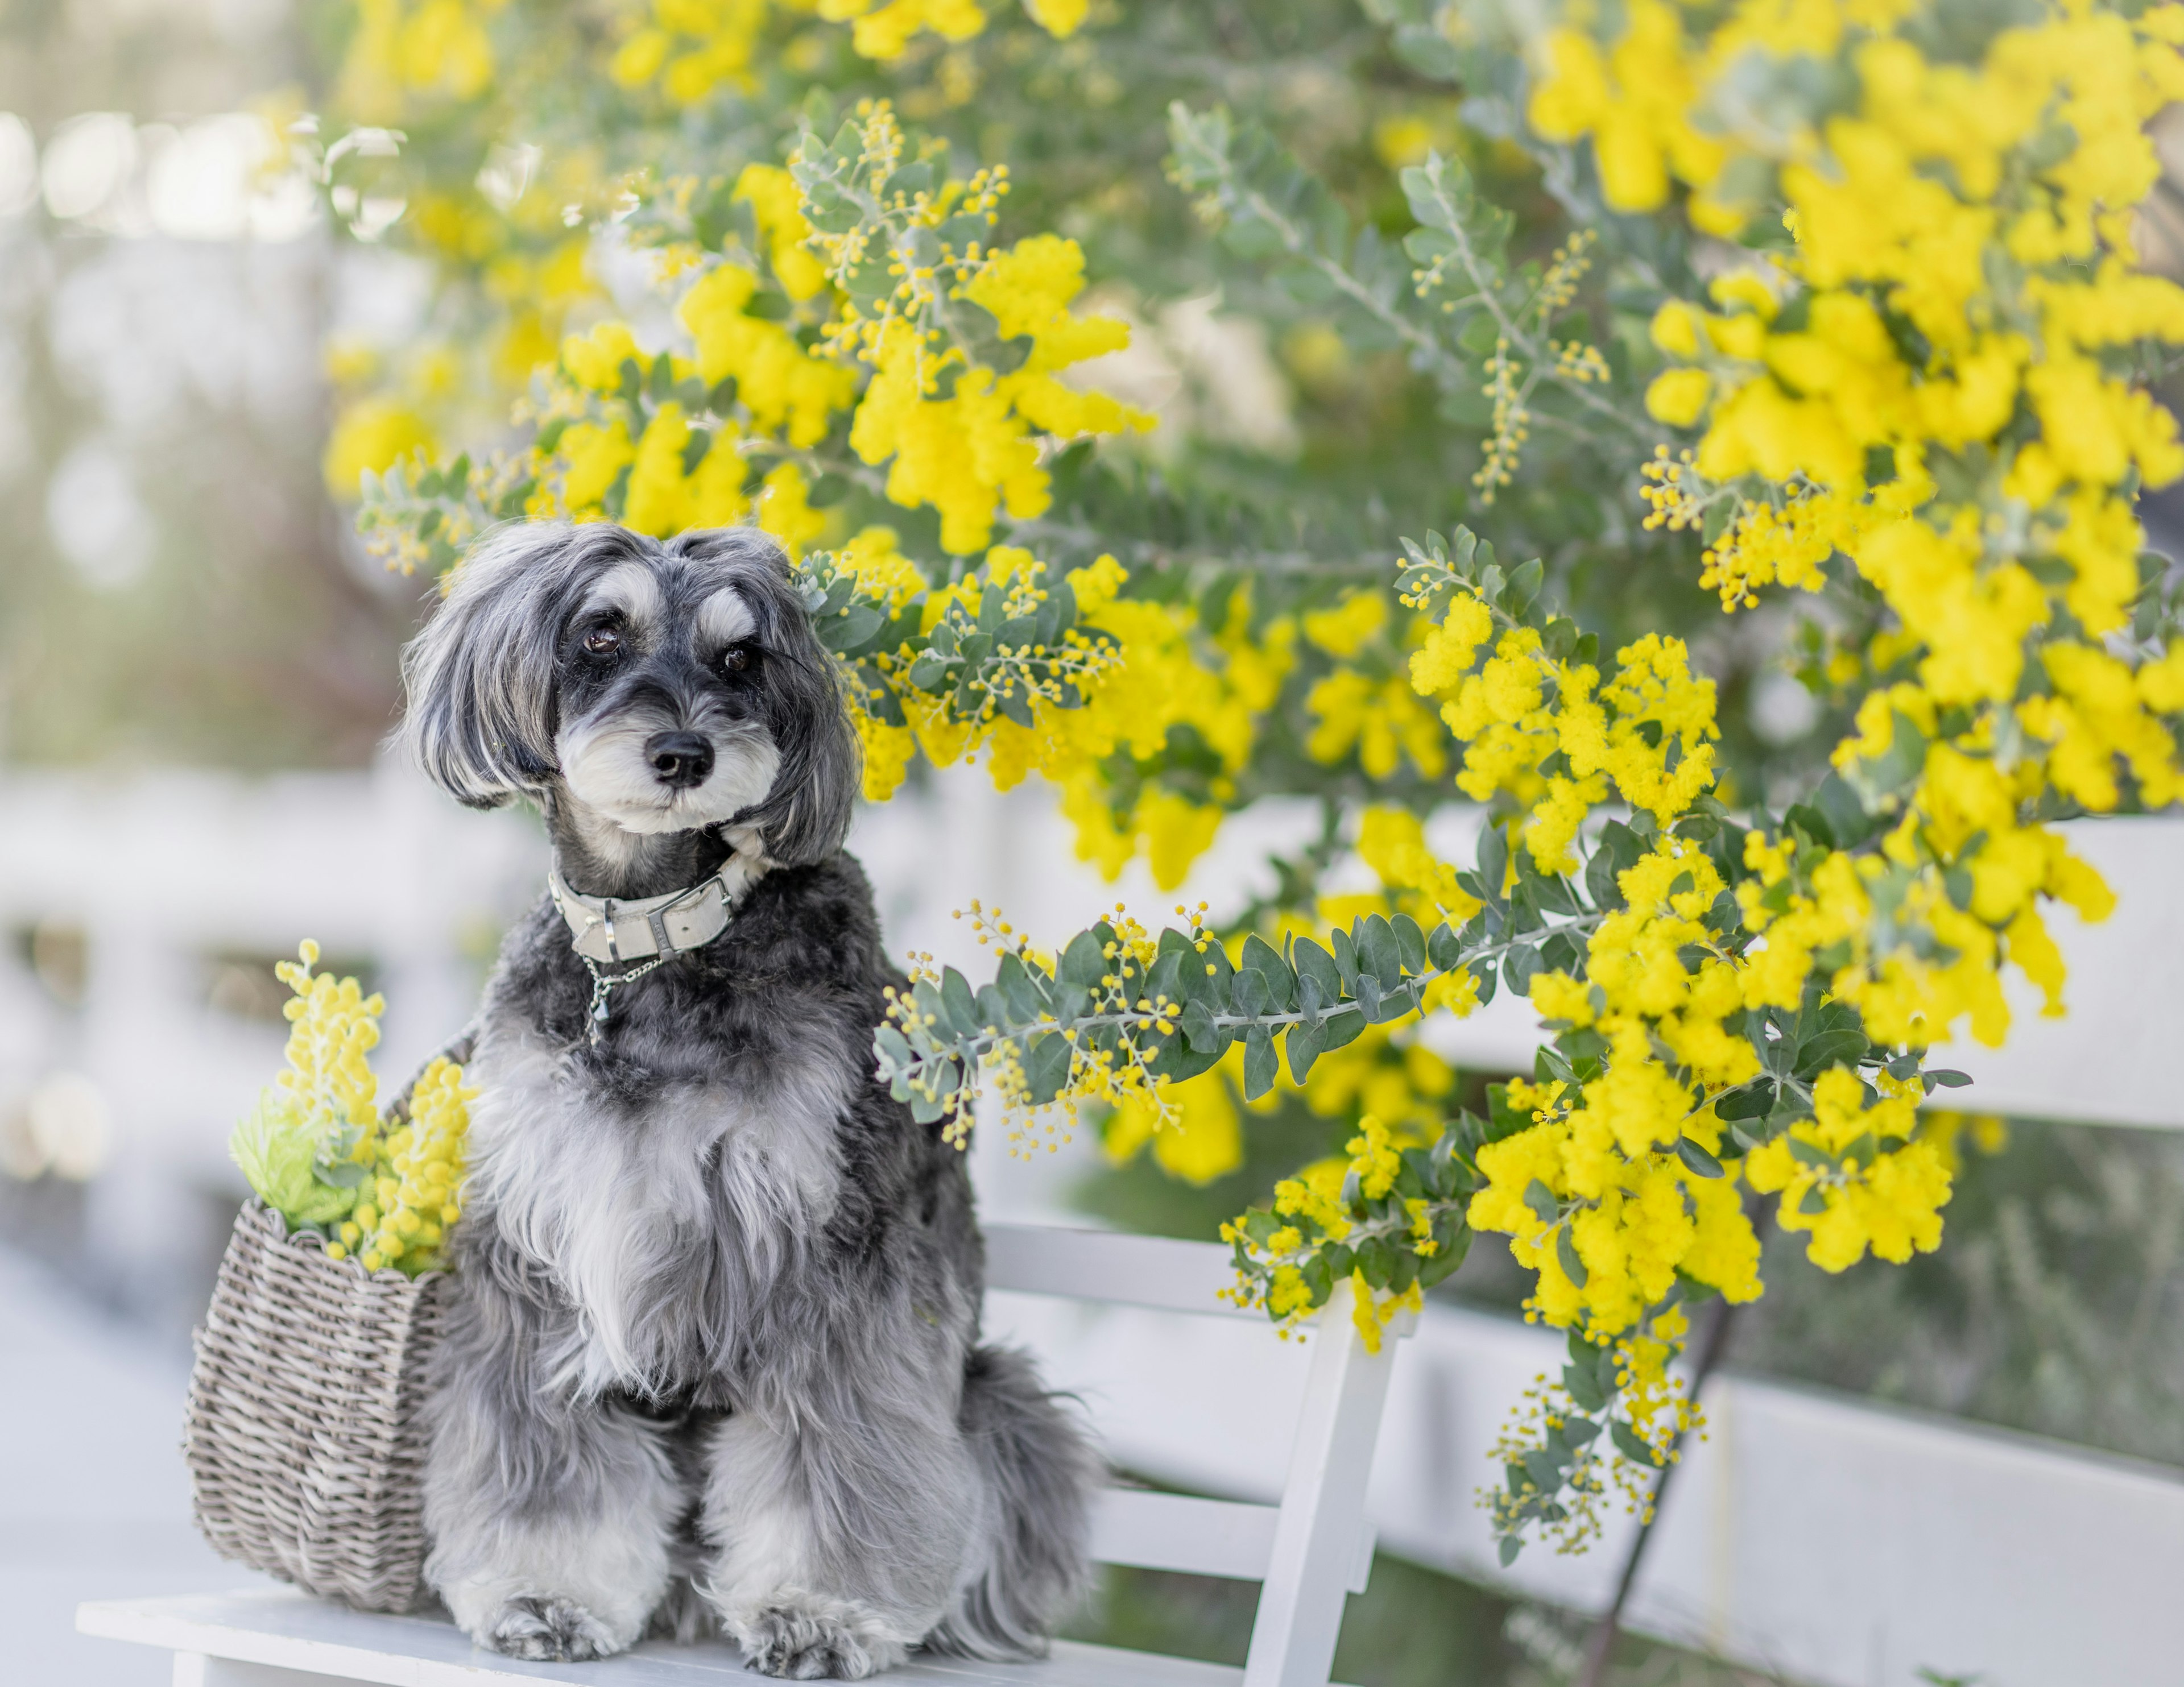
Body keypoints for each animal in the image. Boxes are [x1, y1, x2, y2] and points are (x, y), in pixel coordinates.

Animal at [397, 524, 1092, 1667]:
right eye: (602, 631)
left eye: (741, 657)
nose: (685, 753)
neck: (653, 943)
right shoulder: (537, 1245)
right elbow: (545, 1447)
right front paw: (545, 1589)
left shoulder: (835, 1250)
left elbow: (836, 1450)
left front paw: (821, 1608)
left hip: (999, 1398)